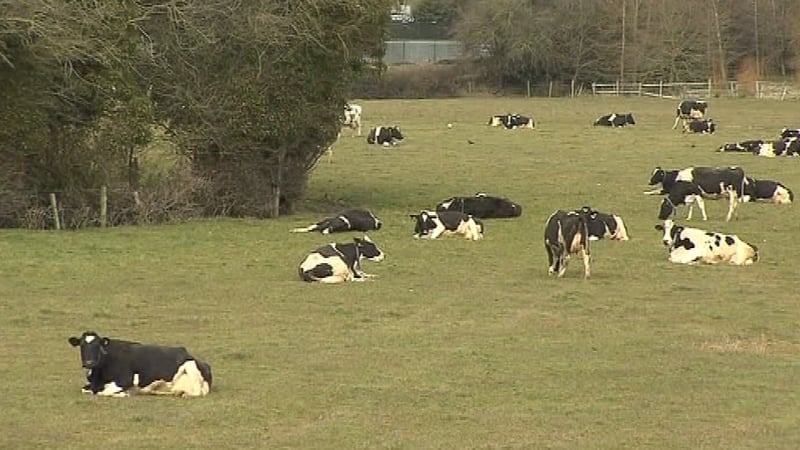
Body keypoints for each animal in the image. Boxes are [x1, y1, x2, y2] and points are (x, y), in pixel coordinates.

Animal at [68, 331, 212, 398]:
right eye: (82, 345)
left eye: (97, 345)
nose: (89, 363)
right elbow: (85, 390)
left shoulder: (125, 379)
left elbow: (104, 392)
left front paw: (124, 394)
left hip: (191, 367)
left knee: (197, 393)